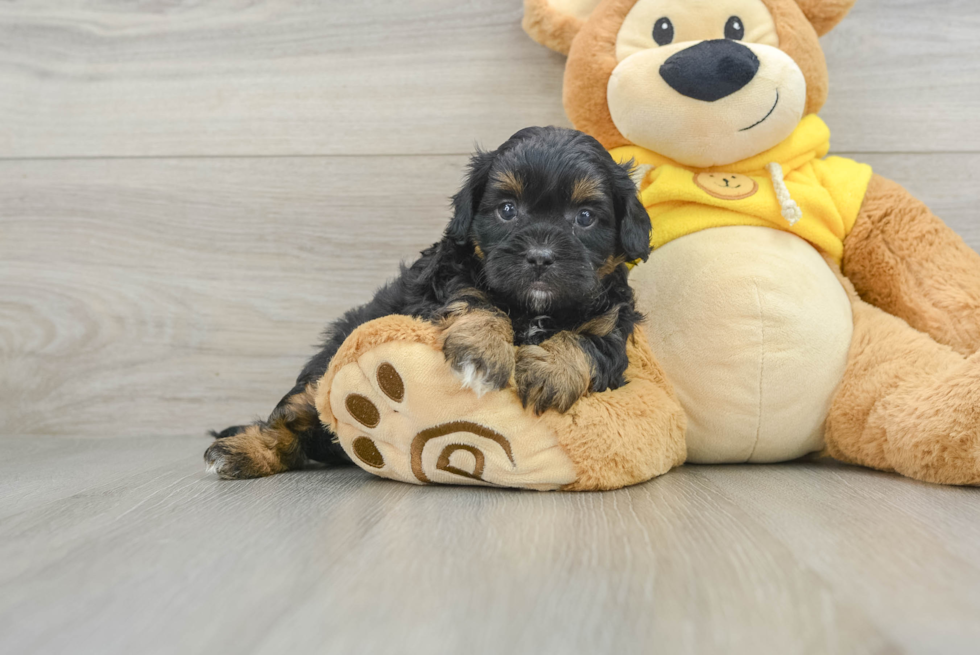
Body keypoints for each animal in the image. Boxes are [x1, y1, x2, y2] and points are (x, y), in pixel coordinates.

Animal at [205, 125, 652, 480]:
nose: (540, 256)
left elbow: (590, 341)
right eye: (507, 210)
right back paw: (241, 451)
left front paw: (551, 370)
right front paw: (483, 352)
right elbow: (476, 300)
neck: (534, 307)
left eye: (585, 217)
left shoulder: (613, 321)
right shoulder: (442, 284)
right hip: (323, 371)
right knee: (293, 418)